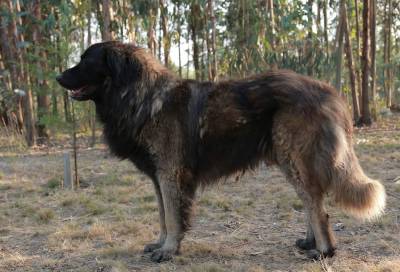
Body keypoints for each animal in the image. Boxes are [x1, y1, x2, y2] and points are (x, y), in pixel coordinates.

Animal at [56, 41, 384, 262]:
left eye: (85, 61)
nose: (58, 77)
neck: (142, 97)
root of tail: (330, 93)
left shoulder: (170, 175)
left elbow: (172, 217)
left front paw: (169, 250)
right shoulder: (159, 179)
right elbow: (163, 216)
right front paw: (161, 244)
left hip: (295, 160)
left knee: (318, 207)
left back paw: (324, 251)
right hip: (290, 161)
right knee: (311, 202)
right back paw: (310, 242)